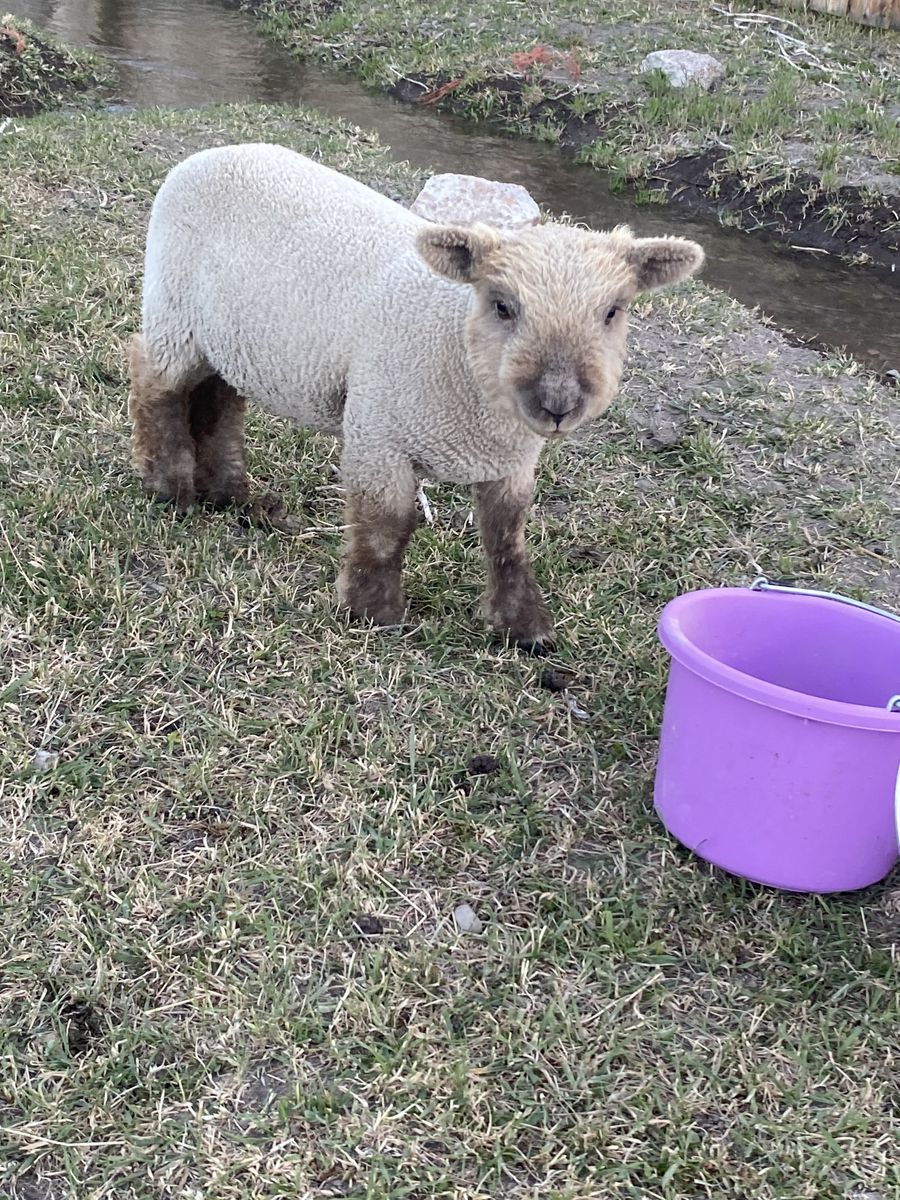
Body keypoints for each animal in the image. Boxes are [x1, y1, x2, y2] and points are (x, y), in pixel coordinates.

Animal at [128, 143, 704, 651]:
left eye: (613, 311)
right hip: (174, 308)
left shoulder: (511, 464)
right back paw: (171, 487)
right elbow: (387, 527)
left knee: (219, 400)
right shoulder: (377, 434)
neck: (455, 347)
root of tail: (213, 152)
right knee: (156, 384)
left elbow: (506, 539)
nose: (558, 403)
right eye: (502, 306)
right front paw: (373, 612)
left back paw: (229, 493)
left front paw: (524, 627)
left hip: (230, 336)